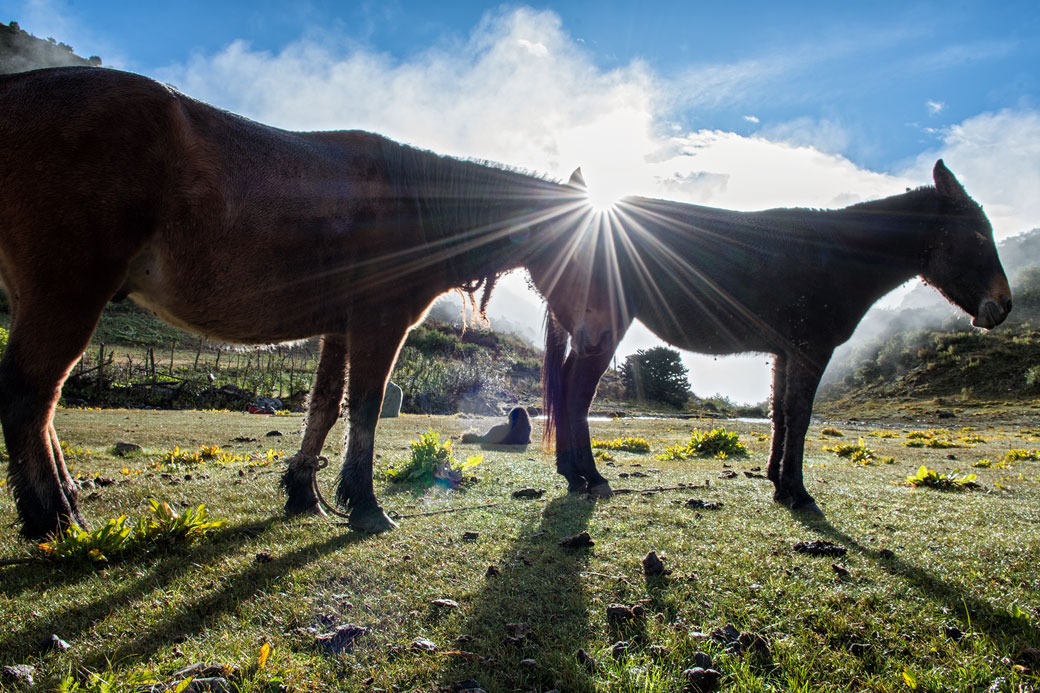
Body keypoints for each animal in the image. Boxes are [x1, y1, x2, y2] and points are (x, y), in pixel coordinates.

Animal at [0, 66, 607, 541]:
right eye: (586, 252)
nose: (598, 340)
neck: (411, 205)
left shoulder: (338, 327)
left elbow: (324, 407)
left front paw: (303, 493)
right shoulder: (379, 322)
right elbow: (365, 407)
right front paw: (364, 505)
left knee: (40, 400)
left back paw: (64, 504)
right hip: (67, 293)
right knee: (32, 396)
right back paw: (54, 518)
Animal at [544, 159, 1006, 509]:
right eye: (978, 236)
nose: (1004, 307)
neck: (843, 257)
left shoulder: (787, 352)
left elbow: (779, 414)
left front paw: (777, 483)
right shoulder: (812, 350)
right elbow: (800, 417)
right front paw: (798, 493)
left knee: (566, 385)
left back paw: (572, 474)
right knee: (578, 392)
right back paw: (591, 477)